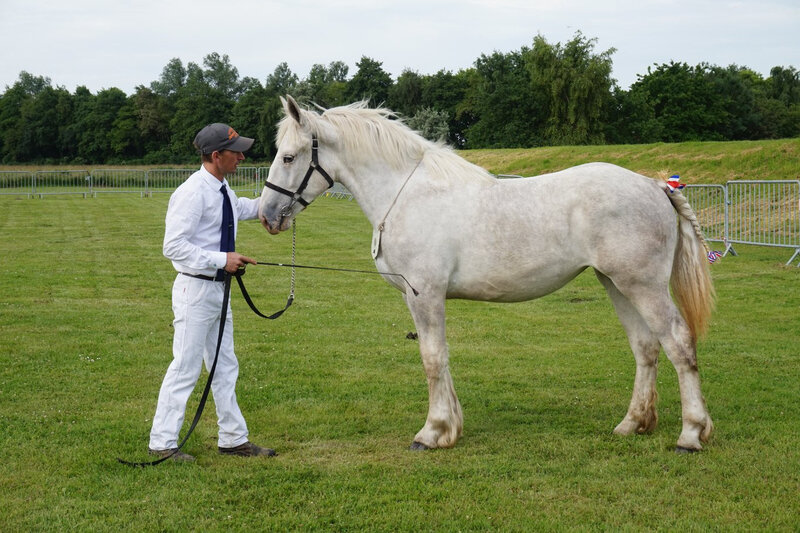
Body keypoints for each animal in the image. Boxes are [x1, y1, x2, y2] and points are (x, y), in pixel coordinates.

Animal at [260, 96, 716, 454]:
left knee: (678, 344)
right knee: (645, 347)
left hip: (643, 286)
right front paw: (450, 428)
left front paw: (432, 432)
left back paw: (691, 434)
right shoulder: (425, 298)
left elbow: (431, 358)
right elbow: (441, 357)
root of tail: (655, 186)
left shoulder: (424, 294)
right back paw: (632, 423)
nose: (267, 215)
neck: (406, 194)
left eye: (288, 157)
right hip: (618, 285)